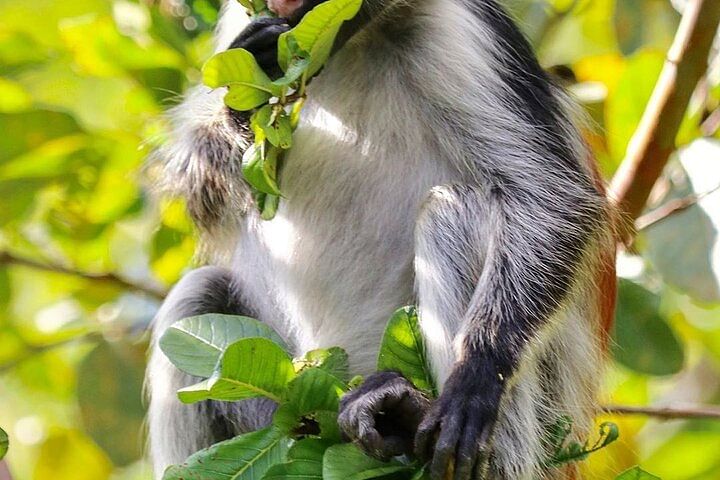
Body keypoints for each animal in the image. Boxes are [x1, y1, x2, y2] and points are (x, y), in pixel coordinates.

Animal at [148, 0, 620, 476]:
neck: (355, 40)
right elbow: (200, 191)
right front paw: (247, 100)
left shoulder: (462, 29)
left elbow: (553, 199)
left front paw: (477, 374)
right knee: (198, 293)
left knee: (450, 213)